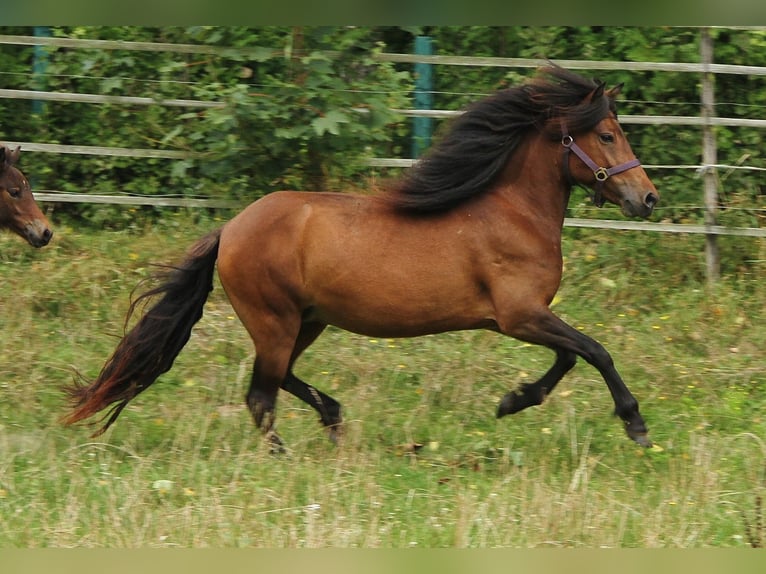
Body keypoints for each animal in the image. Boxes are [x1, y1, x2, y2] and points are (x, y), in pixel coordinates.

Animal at [64, 66, 660, 450]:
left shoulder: (525, 318)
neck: (511, 211)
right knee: (261, 394)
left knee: (279, 380)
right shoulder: (519, 316)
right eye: (607, 134)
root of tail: (231, 228)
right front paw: (634, 424)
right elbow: (594, 352)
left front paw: (512, 400)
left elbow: (570, 358)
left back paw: (333, 419)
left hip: (307, 322)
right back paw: (287, 455)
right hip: (275, 320)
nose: (647, 199)